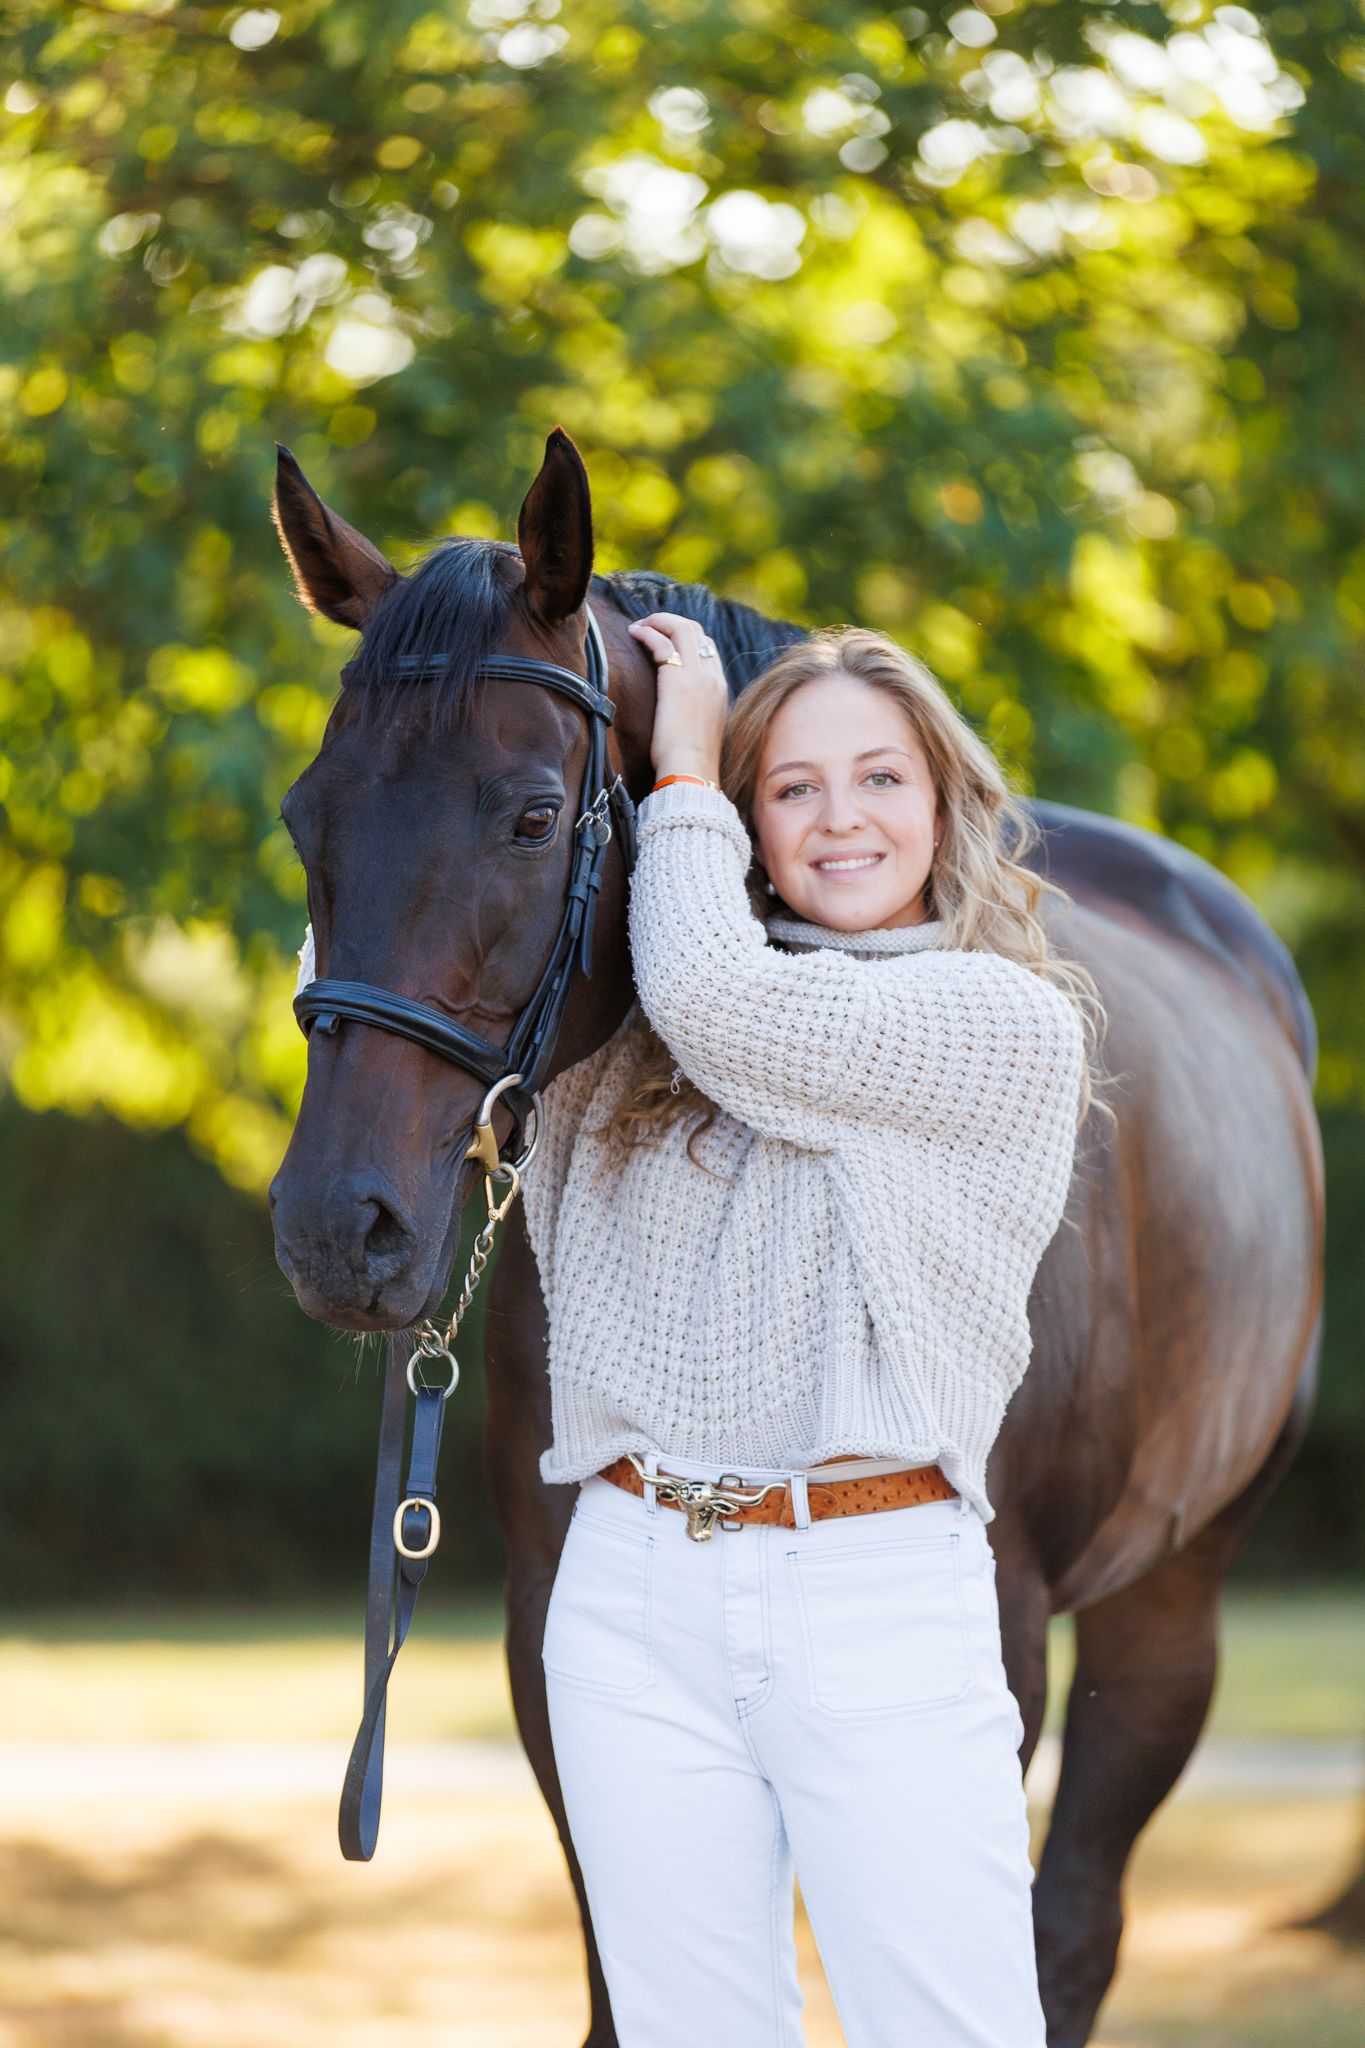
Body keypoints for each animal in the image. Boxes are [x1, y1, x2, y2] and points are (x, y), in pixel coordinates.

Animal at [268, 427, 1324, 2047]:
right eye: (306, 816)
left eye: (530, 813)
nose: (341, 1228)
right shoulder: (546, 1639)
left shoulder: (1008, 1633)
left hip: (1170, 1604)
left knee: (1075, 1926)